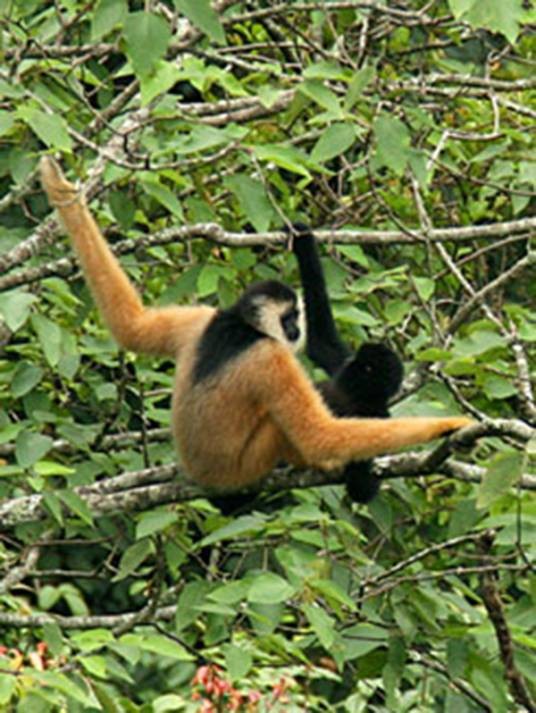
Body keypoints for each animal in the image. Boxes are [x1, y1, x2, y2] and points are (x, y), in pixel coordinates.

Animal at [290, 224, 404, 503]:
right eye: (361, 359)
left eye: (368, 365)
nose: (354, 360)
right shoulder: (343, 371)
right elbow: (321, 340)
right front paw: (302, 239)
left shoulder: (375, 411)